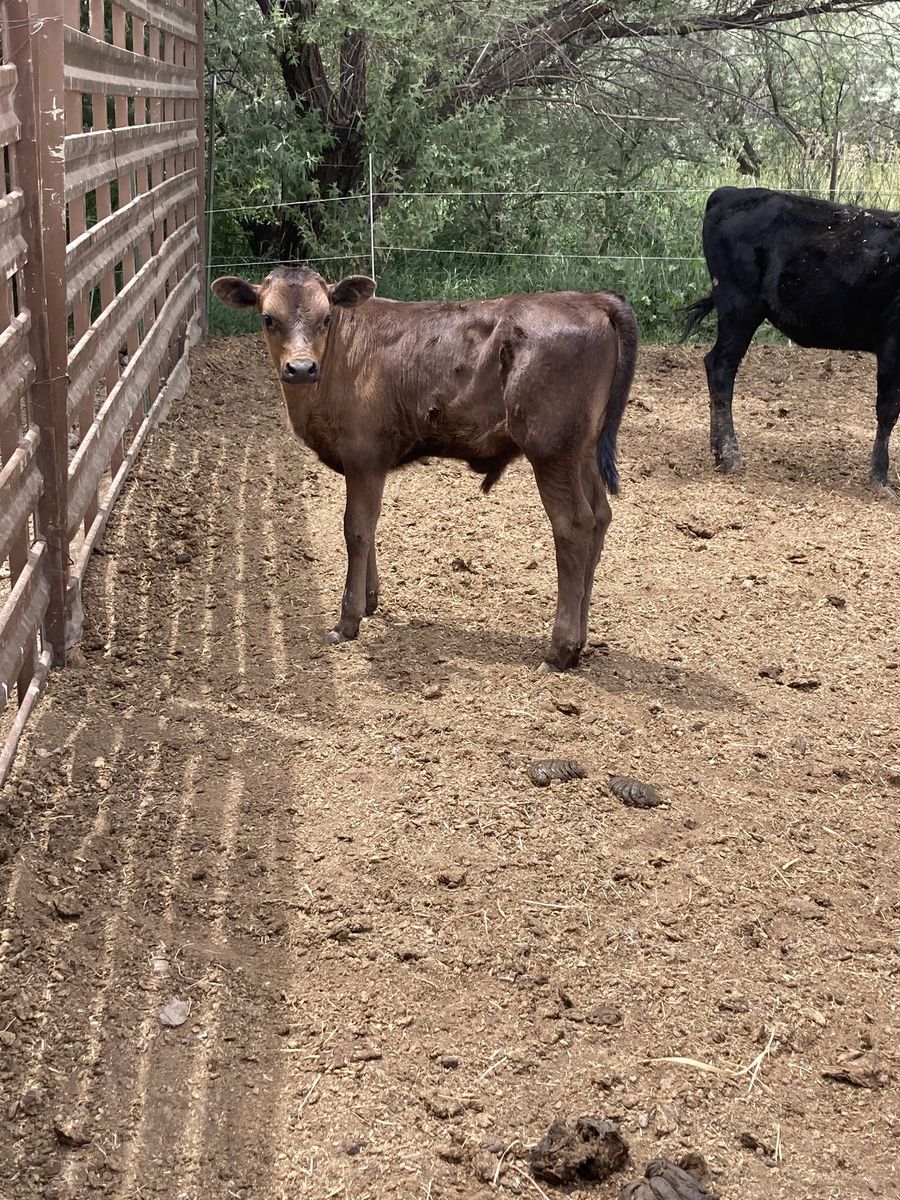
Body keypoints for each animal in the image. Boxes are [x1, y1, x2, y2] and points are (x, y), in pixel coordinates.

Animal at [212, 267, 638, 671]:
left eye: (326, 317)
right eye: (268, 318)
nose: (301, 368)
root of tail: (592, 297)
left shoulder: (363, 456)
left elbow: (356, 529)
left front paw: (348, 620)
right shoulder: (369, 466)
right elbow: (371, 526)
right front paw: (370, 600)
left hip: (551, 450)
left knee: (573, 526)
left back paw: (560, 650)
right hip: (582, 453)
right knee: (599, 517)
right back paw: (581, 640)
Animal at [682, 185, 900, 496]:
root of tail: (730, 192)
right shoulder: (892, 345)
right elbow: (888, 411)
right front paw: (880, 479)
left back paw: (717, 450)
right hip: (740, 307)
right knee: (721, 367)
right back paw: (730, 456)